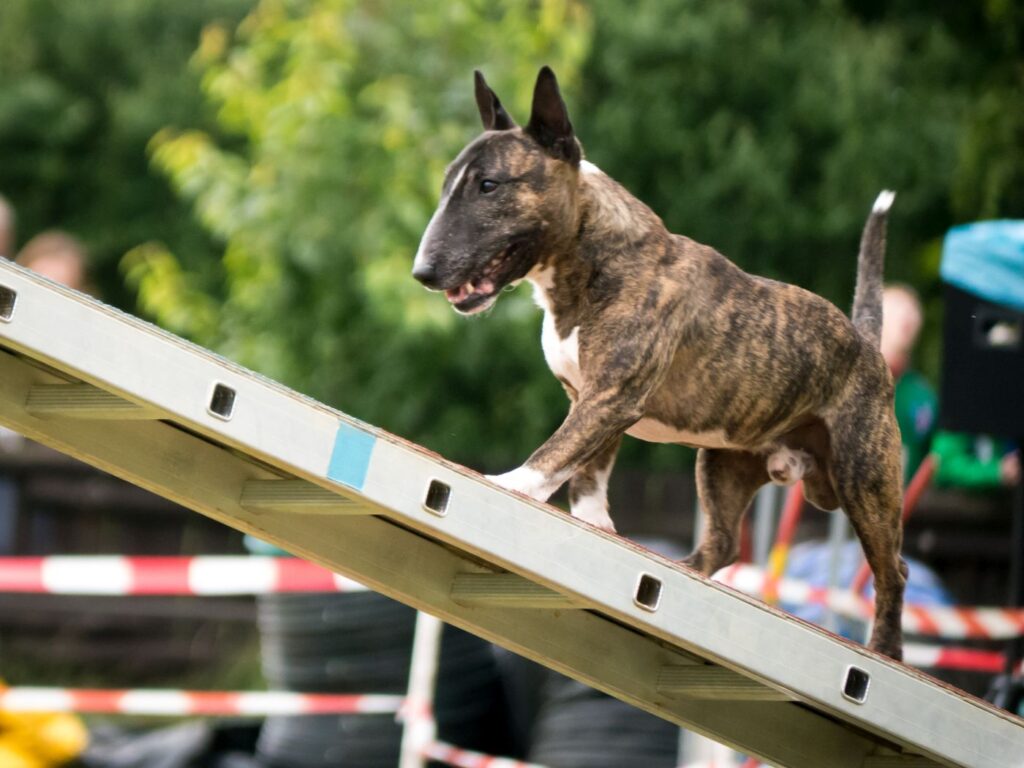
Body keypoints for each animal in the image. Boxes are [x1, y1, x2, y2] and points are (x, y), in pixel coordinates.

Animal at [411, 66, 909, 663]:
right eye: (447, 184)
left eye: (489, 186)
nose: (423, 272)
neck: (593, 255)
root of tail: (867, 343)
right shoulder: (593, 400)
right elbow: (587, 471)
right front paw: (597, 526)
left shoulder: (610, 395)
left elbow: (555, 454)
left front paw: (507, 483)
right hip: (722, 463)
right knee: (723, 543)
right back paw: (680, 573)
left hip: (865, 477)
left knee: (894, 570)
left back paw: (886, 651)